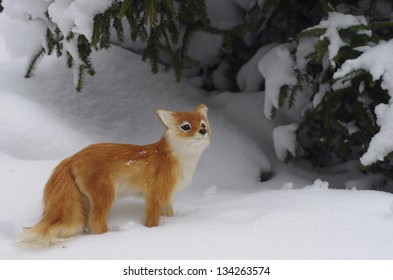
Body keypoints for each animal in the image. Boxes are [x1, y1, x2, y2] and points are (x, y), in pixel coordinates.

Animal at [16, 104, 210, 248]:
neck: (178, 160)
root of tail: (73, 157)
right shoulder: (154, 196)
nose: (203, 132)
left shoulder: (167, 197)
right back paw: (110, 239)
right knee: (96, 224)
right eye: (186, 127)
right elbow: (152, 222)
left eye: (202, 125)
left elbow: (169, 215)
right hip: (106, 196)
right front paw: (152, 233)